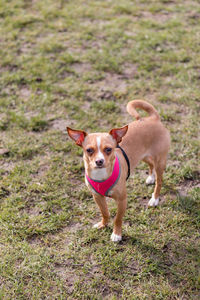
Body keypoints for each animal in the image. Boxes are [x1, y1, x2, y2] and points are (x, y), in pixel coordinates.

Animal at [67, 101, 170, 241]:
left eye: (108, 149)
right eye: (89, 150)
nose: (99, 161)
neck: (101, 175)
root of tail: (153, 119)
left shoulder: (122, 200)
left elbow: (118, 219)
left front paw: (116, 234)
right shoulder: (97, 197)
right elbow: (105, 212)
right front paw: (103, 224)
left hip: (160, 161)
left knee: (159, 181)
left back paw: (154, 198)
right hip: (143, 156)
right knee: (150, 164)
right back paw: (151, 177)